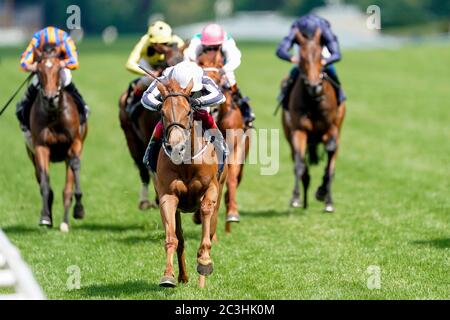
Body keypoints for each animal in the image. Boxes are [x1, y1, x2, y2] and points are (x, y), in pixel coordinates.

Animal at [28, 45, 89, 231]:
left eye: (58, 69)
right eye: (39, 71)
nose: (50, 98)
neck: (54, 114)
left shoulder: (74, 143)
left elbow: (73, 174)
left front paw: (78, 210)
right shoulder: (40, 147)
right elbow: (45, 184)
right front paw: (45, 217)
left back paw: (65, 220)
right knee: (41, 178)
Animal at [152, 79, 229, 288]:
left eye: (188, 111)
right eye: (162, 112)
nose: (175, 146)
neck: (186, 162)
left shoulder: (211, 188)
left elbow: (205, 211)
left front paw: (204, 261)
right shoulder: (167, 196)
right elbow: (172, 238)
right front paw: (168, 275)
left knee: (210, 227)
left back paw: (202, 279)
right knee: (180, 237)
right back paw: (183, 277)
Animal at [284, 28, 346, 212]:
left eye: (320, 56)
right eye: (302, 58)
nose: (314, 86)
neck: (314, 101)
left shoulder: (332, 129)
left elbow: (330, 163)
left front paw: (326, 197)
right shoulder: (299, 131)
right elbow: (299, 164)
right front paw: (295, 197)